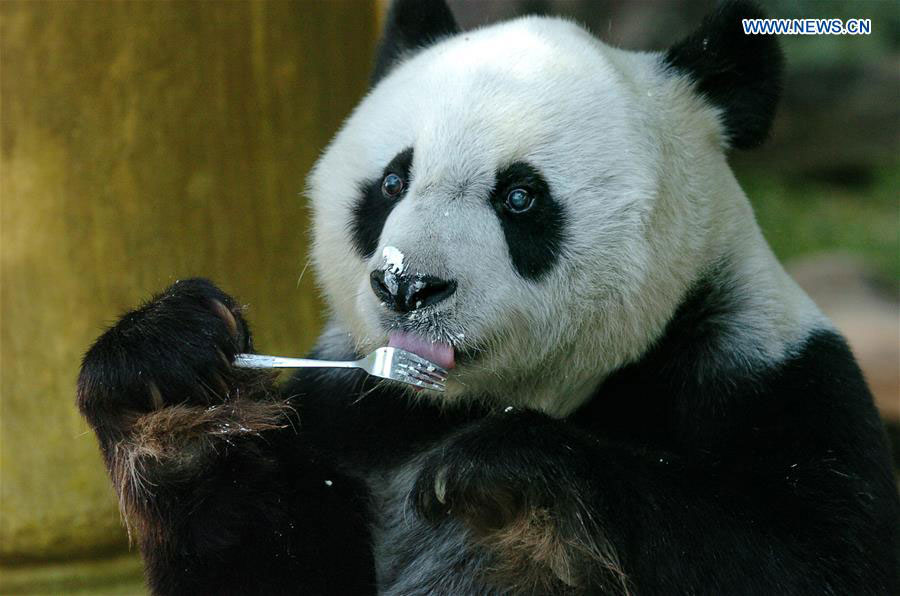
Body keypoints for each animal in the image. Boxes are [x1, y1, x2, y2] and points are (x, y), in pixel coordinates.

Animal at [77, 1, 899, 594]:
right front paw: (164, 368)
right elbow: (262, 567)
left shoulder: (770, 378)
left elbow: (812, 558)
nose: (407, 285)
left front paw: (504, 471)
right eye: (392, 182)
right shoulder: (351, 421)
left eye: (520, 197)